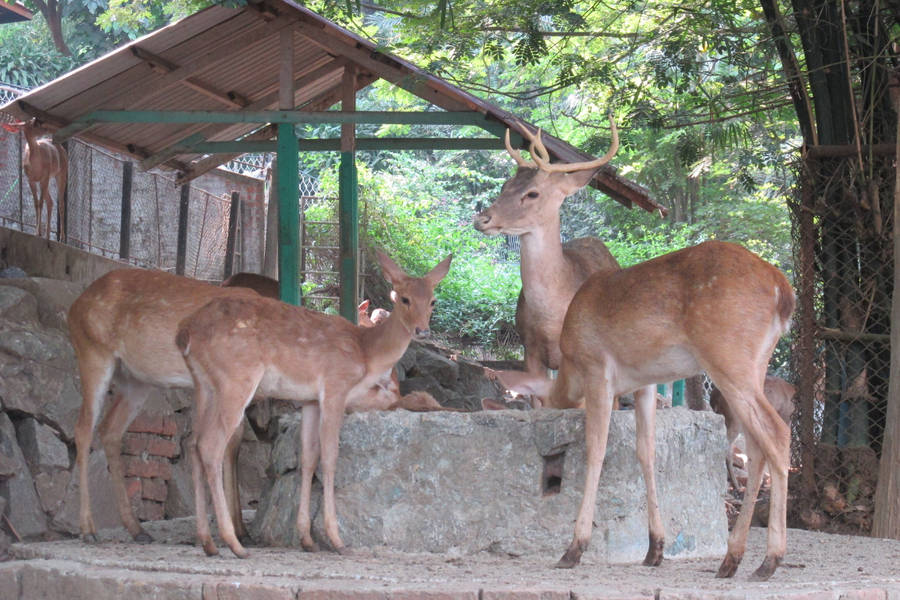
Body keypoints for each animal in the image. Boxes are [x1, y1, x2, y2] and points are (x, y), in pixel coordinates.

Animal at [175, 250, 451, 558]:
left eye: (433, 300)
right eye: (404, 298)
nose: (422, 330)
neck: (365, 352)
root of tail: (185, 333)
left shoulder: (310, 401)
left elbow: (307, 459)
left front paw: (307, 539)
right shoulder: (334, 388)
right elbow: (330, 458)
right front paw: (336, 539)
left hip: (203, 385)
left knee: (193, 444)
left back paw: (208, 542)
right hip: (236, 379)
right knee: (211, 445)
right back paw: (234, 543)